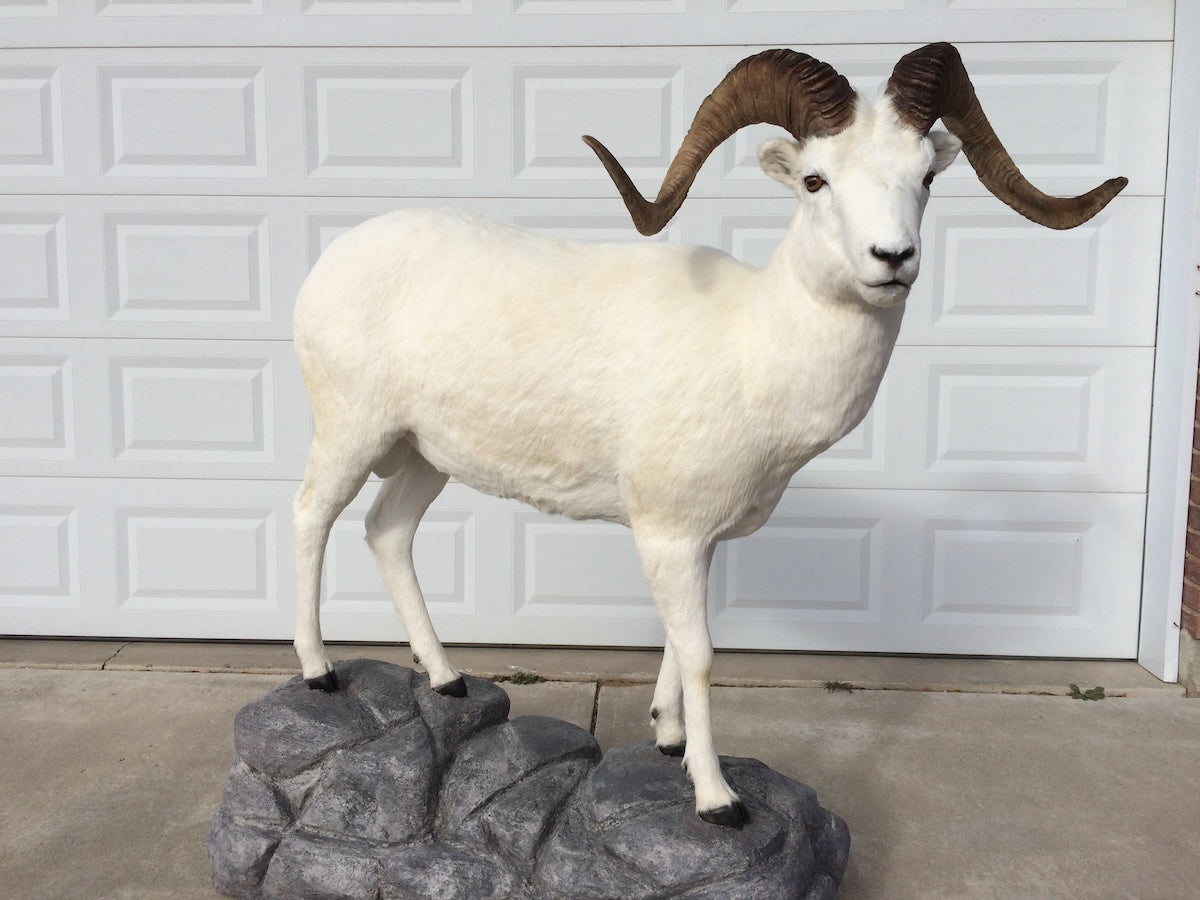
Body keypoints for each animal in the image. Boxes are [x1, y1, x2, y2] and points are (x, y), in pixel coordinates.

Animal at [291, 43, 1125, 828]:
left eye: (924, 176)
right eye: (816, 180)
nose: (892, 259)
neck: (752, 344)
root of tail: (332, 260)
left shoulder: (700, 540)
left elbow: (675, 640)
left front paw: (666, 739)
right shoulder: (666, 535)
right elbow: (700, 653)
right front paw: (717, 799)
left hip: (423, 458)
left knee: (387, 532)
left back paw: (448, 679)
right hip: (350, 436)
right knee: (310, 517)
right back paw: (318, 672)